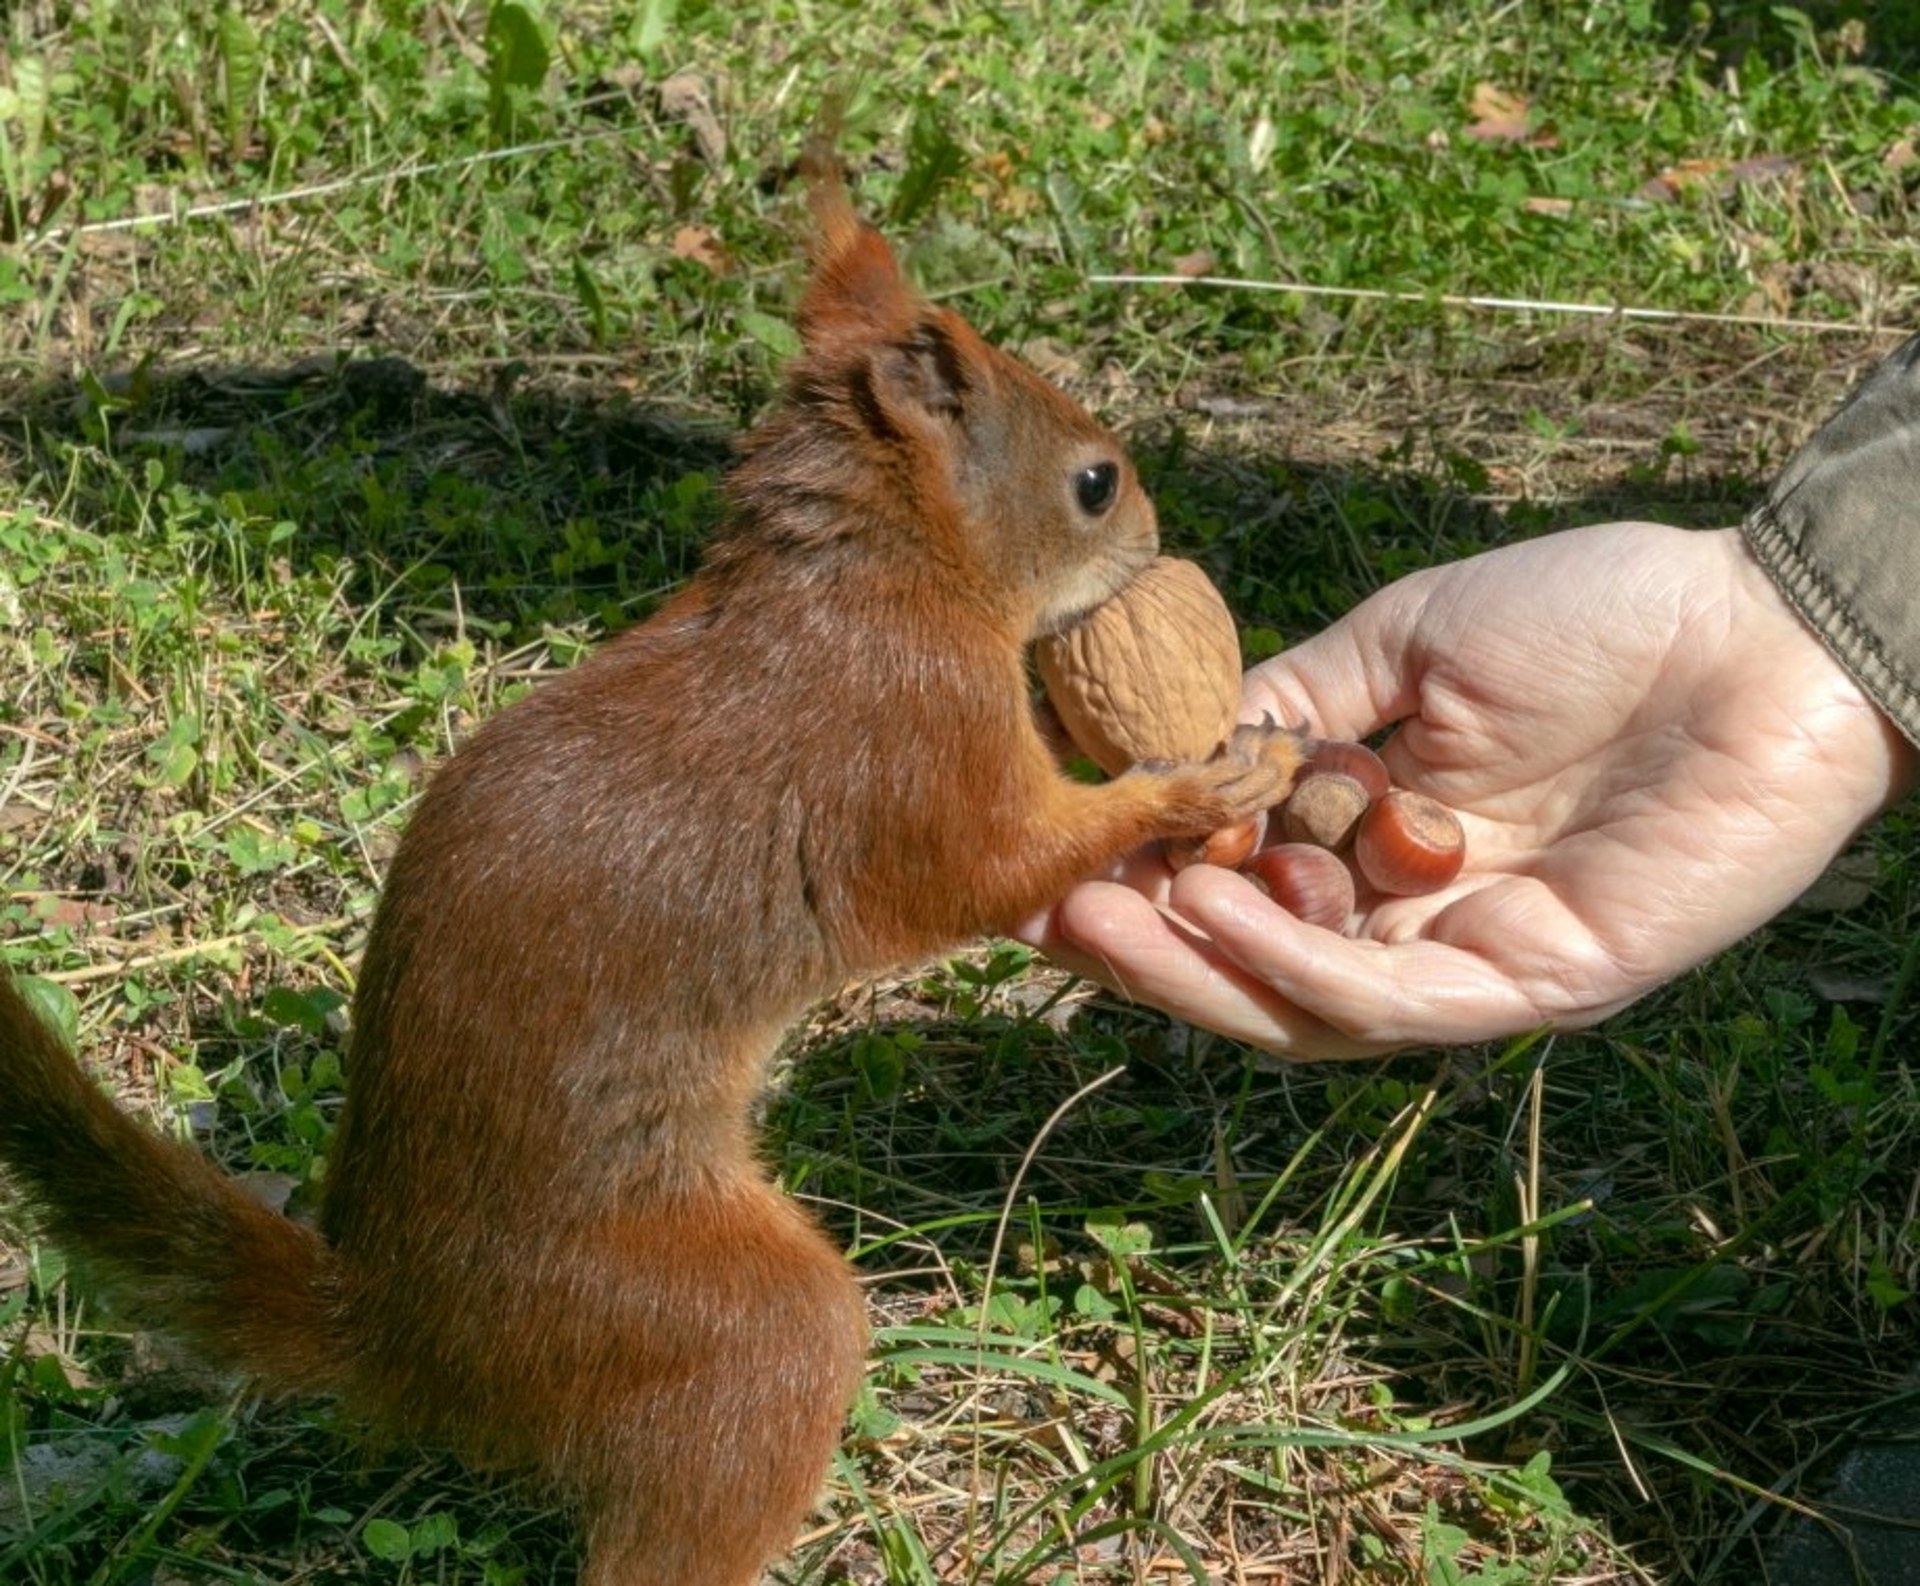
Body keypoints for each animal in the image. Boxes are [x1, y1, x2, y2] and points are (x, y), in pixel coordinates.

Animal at [0, 144, 1305, 1566]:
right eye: (1094, 482)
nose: (1160, 540)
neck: (873, 580)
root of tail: (406, 1337)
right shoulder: (914, 751)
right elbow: (989, 868)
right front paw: (1196, 781)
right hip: (720, 1322)